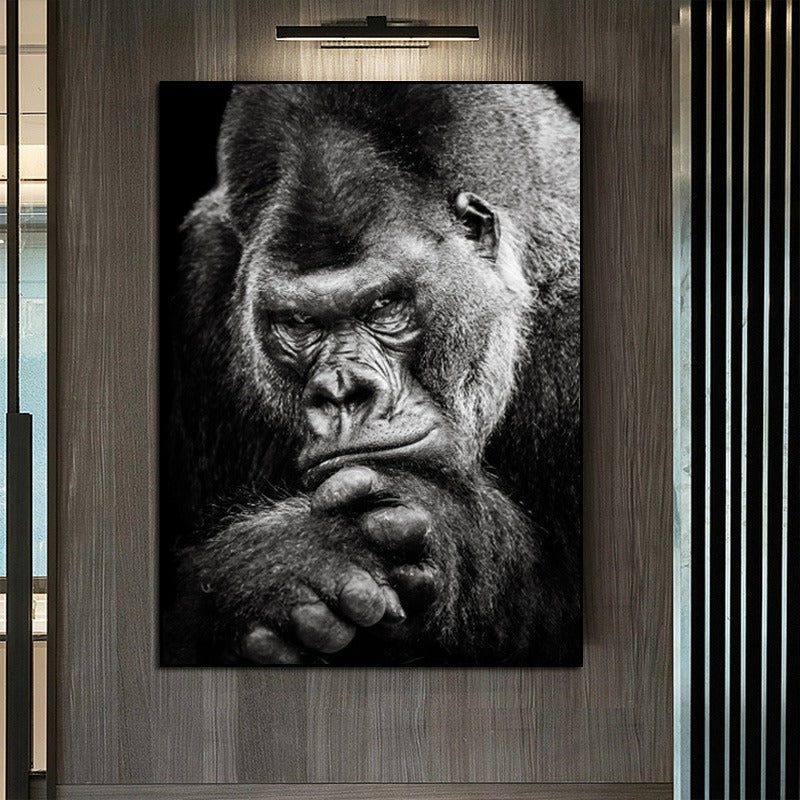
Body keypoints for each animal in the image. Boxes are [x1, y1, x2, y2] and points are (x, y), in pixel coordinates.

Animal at [160, 82, 581, 666]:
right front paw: (279, 567)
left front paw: (445, 530)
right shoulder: (202, 279)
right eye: (299, 322)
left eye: (384, 306)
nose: (342, 392)